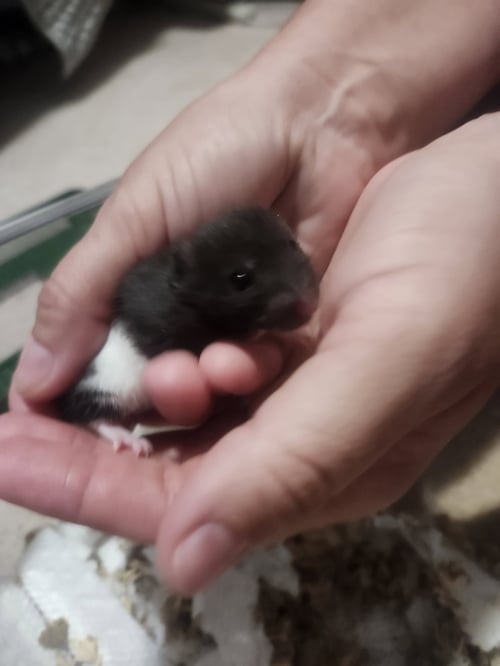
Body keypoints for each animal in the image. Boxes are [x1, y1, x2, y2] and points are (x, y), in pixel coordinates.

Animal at [57, 207, 319, 455]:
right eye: (240, 279)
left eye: (292, 244)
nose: (309, 307)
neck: (189, 292)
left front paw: (302, 336)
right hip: (106, 387)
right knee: (89, 416)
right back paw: (131, 441)